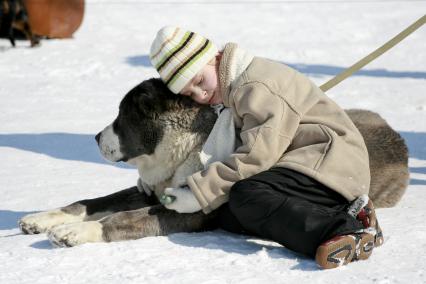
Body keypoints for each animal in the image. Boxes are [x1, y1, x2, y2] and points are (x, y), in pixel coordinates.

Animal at [17, 77, 410, 246]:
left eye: (122, 116)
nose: (96, 138)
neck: (188, 146)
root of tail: (399, 139)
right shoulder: (148, 191)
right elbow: (92, 202)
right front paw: (43, 218)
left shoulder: (188, 209)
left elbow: (121, 218)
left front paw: (76, 232)